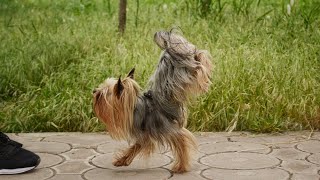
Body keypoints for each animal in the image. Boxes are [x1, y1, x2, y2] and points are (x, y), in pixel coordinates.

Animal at [92, 29, 212, 173]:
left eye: (100, 95)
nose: (94, 91)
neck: (135, 109)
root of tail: (169, 49)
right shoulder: (146, 135)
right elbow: (135, 147)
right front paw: (122, 160)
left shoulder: (169, 128)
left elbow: (182, 144)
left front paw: (181, 167)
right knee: (198, 55)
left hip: (185, 67)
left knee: (199, 59)